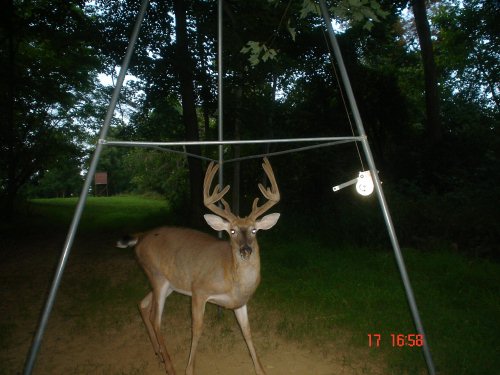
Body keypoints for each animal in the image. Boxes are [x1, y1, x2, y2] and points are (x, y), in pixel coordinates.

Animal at [117, 158, 282, 375]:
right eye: (231, 231)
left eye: (254, 230)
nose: (246, 250)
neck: (231, 277)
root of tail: (141, 236)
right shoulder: (199, 290)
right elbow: (196, 329)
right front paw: (189, 369)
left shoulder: (240, 303)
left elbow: (247, 332)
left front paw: (260, 369)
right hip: (157, 276)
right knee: (155, 318)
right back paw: (170, 366)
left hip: (166, 282)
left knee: (142, 305)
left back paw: (158, 354)